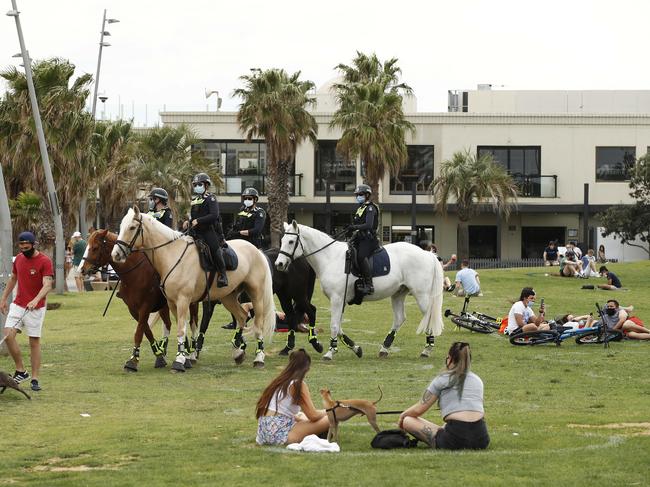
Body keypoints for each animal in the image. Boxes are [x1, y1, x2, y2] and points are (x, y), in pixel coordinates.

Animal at [111, 205, 274, 370]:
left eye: (132, 227)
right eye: (121, 226)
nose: (116, 254)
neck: (172, 255)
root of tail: (257, 250)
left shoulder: (183, 300)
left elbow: (181, 330)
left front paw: (179, 361)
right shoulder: (172, 303)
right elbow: (182, 329)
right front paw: (185, 356)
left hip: (256, 294)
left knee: (258, 324)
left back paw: (259, 358)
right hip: (228, 296)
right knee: (242, 316)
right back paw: (237, 352)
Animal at [270, 223, 442, 360]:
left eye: (291, 241)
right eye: (282, 241)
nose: (279, 264)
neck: (330, 258)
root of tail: (427, 254)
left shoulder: (337, 299)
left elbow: (334, 325)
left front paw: (330, 352)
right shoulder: (341, 301)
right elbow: (339, 326)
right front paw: (355, 348)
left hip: (421, 295)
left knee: (428, 316)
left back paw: (427, 350)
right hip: (398, 294)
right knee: (400, 319)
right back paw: (385, 348)